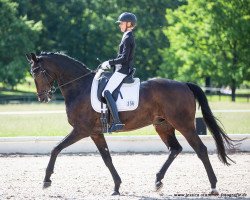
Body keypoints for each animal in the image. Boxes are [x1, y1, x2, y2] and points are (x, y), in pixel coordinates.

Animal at [26, 51, 237, 195]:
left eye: (37, 72)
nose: (42, 98)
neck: (80, 87)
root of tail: (184, 84)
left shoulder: (81, 130)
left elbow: (56, 148)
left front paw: (46, 180)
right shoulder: (95, 132)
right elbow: (107, 158)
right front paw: (117, 186)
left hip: (184, 125)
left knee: (200, 150)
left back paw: (213, 186)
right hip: (162, 125)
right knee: (175, 149)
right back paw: (158, 182)